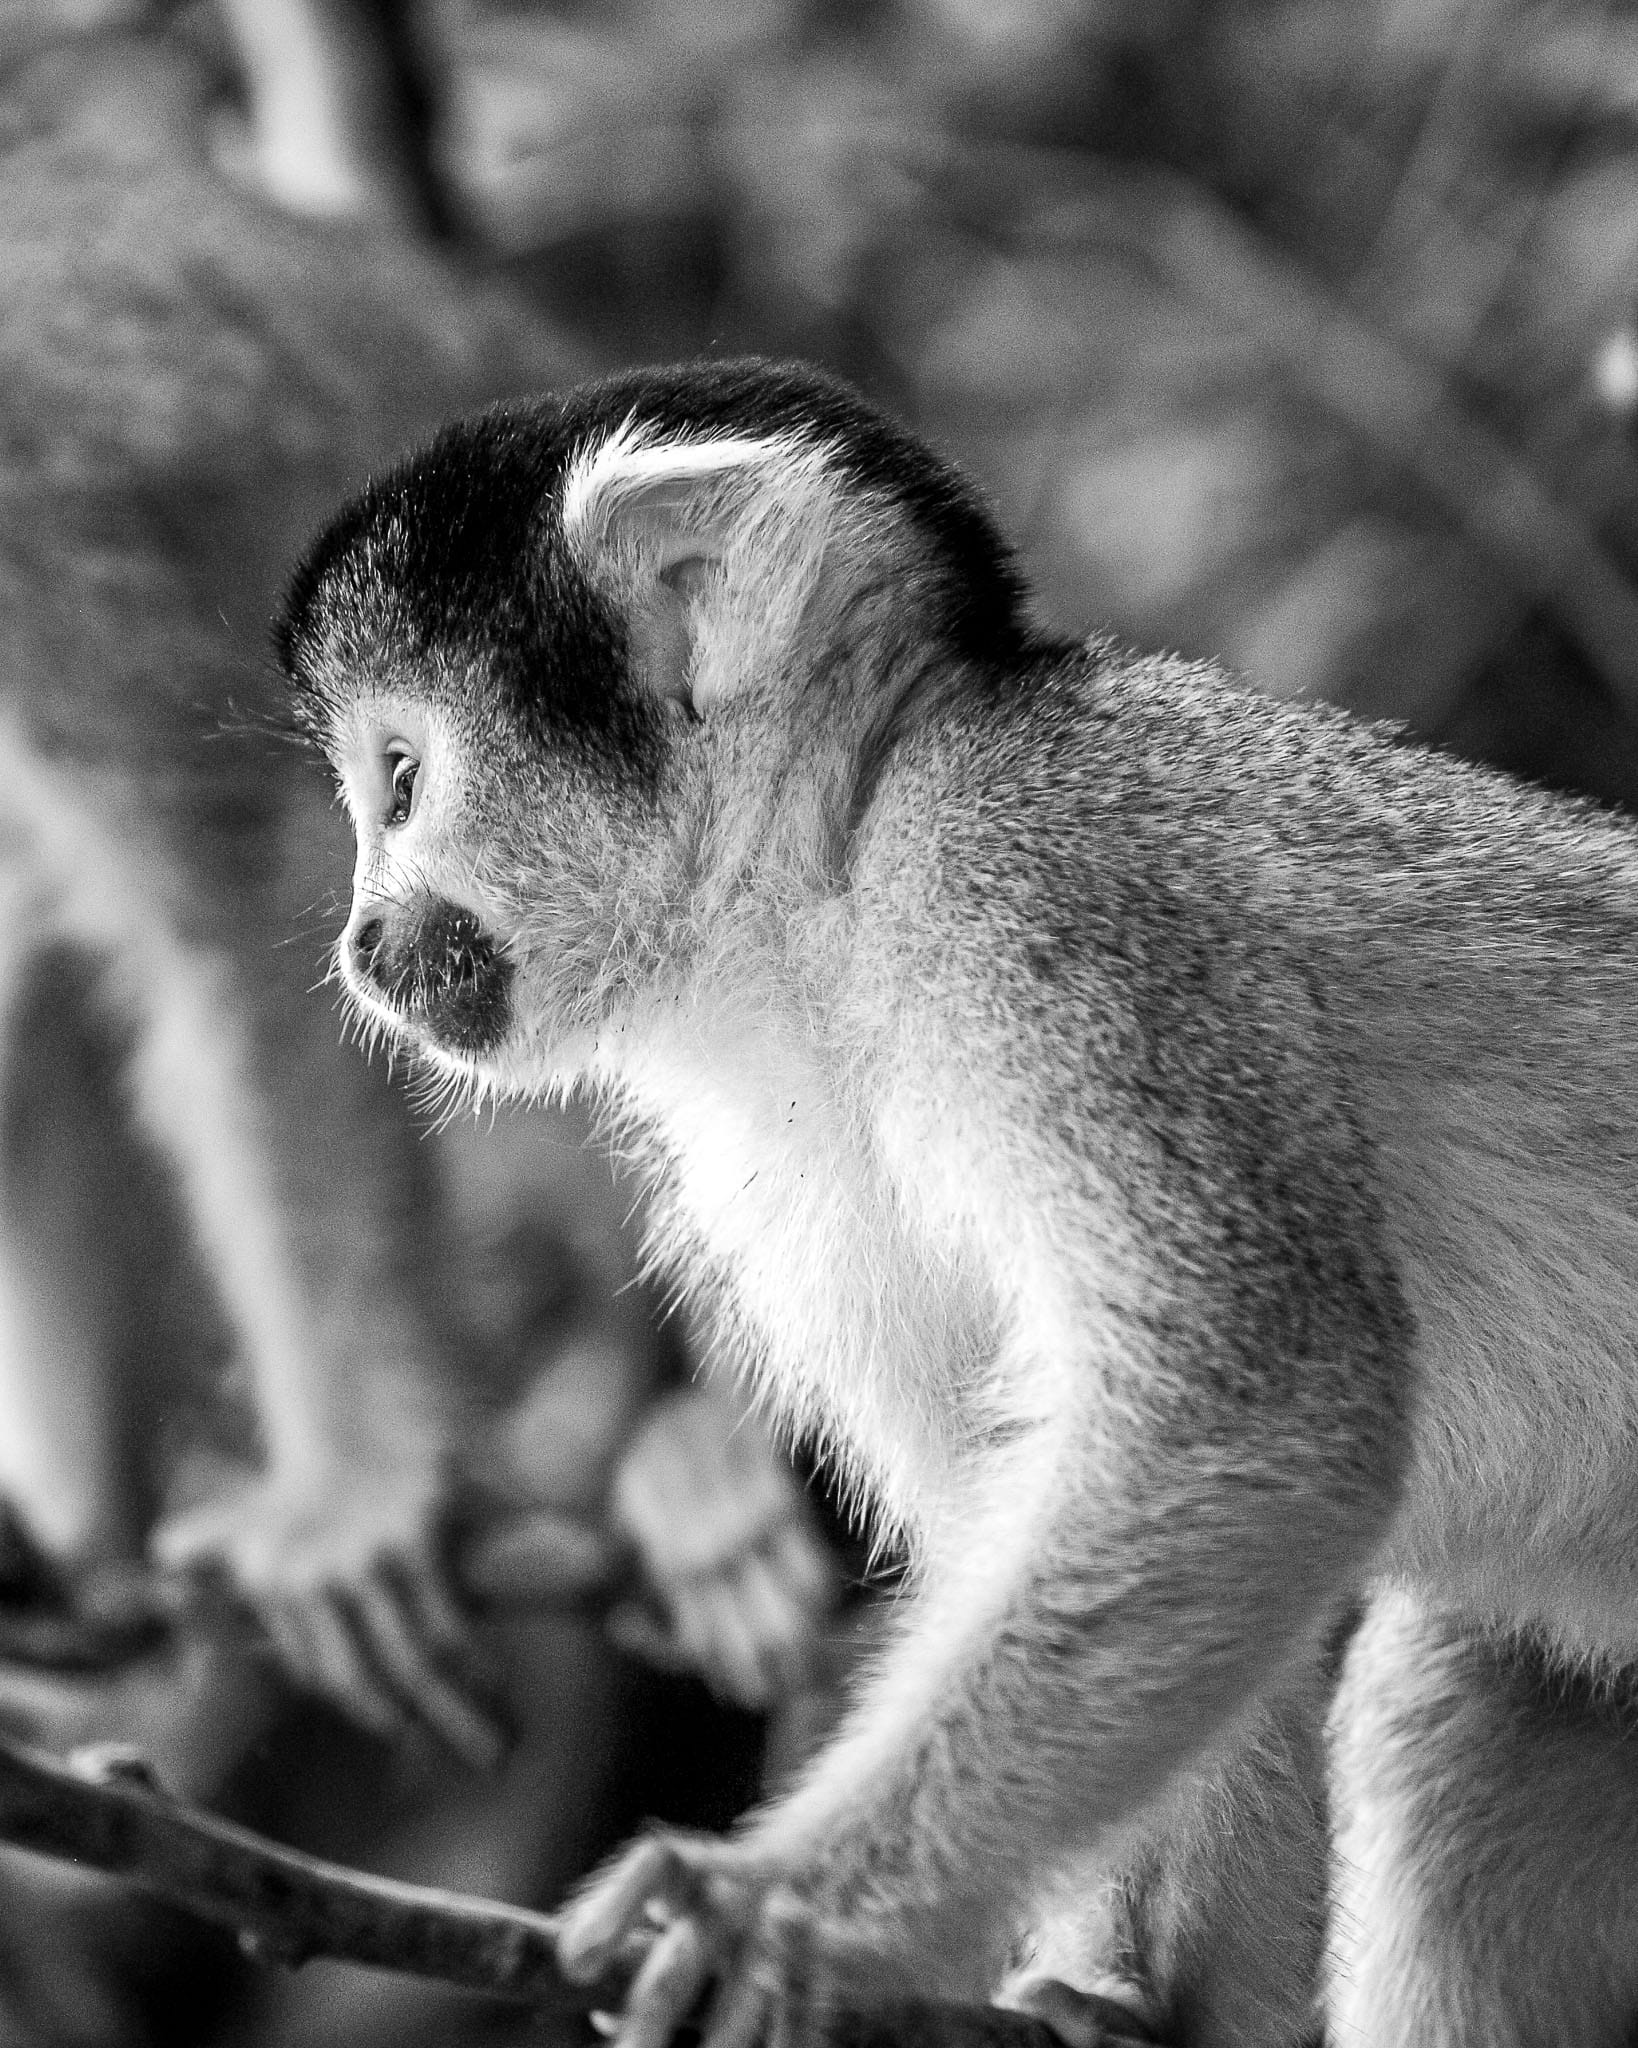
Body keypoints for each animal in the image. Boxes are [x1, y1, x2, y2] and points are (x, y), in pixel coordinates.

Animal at [277, 351, 1638, 2046]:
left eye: (399, 782)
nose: (361, 938)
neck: (837, 881)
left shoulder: (1037, 878)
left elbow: (1251, 1419)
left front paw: (775, 1912)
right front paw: (1127, 1994)